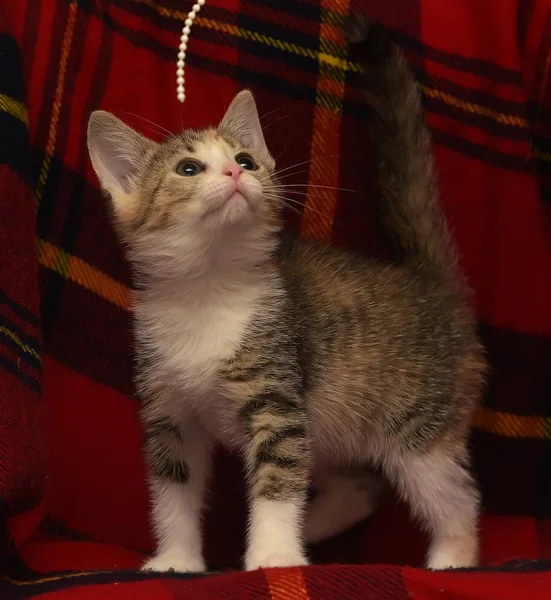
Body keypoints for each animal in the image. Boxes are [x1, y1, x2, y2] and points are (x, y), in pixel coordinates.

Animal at [86, 18, 488, 572]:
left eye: (245, 159)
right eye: (188, 169)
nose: (236, 173)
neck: (208, 291)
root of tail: (426, 280)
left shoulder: (277, 397)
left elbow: (277, 477)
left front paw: (273, 555)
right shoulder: (170, 411)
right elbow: (173, 489)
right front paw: (177, 559)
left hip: (418, 425)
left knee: (457, 497)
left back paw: (451, 558)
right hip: (336, 415)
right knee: (361, 485)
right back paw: (313, 529)